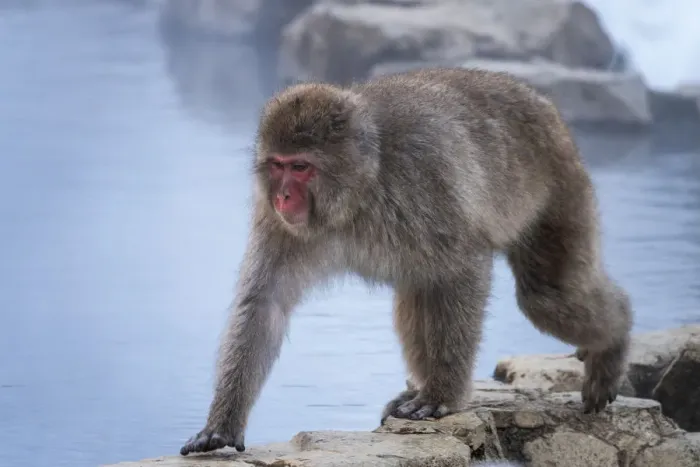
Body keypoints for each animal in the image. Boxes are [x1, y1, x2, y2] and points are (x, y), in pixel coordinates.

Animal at [179, 67, 633, 456]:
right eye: (277, 166)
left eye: (301, 167)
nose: (283, 196)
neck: (360, 189)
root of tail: (539, 100)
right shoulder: (277, 223)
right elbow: (264, 304)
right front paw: (221, 426)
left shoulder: (423, 178)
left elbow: (464, 266)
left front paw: (442, 397)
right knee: (418, 294)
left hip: (559, 183)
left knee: (545, 296)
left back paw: (615, 340)